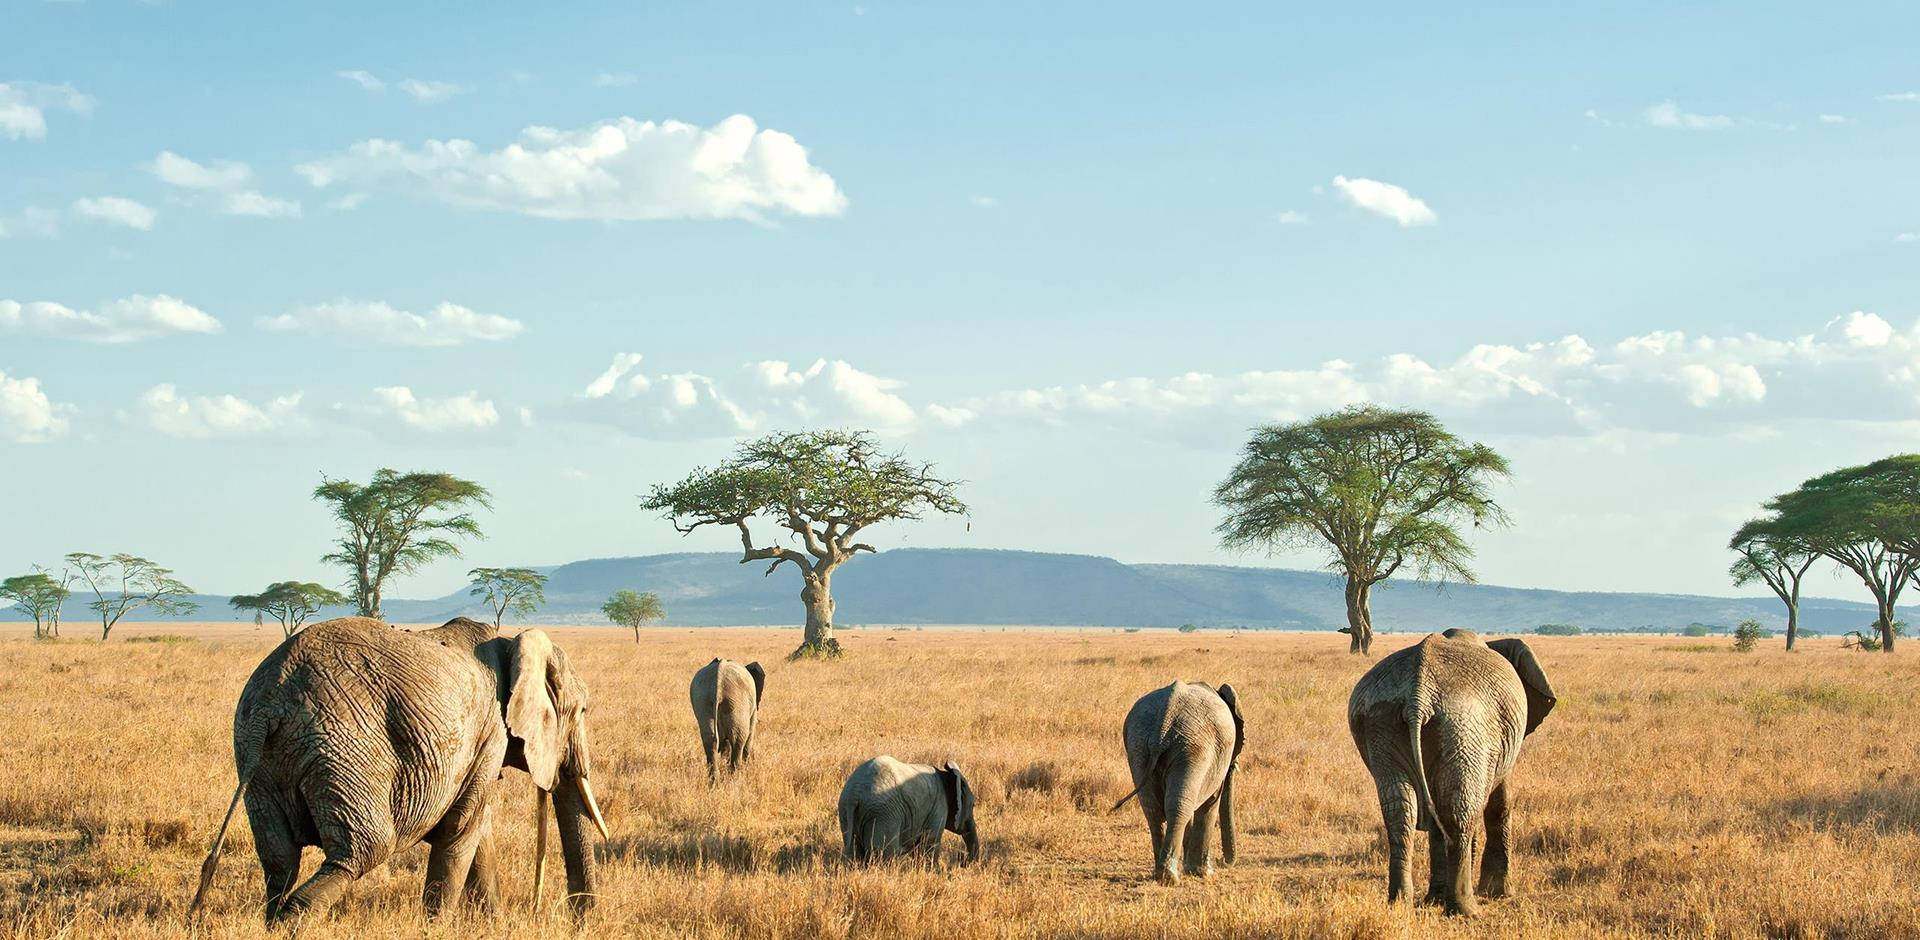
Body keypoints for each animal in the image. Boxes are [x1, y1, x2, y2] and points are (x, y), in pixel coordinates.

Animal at [190, 617, 610, 924]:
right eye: (582, 710)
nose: (580, 920)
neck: (511, 643)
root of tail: (270, 703)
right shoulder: (490, 731)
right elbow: (462, 829)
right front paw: (435, 927)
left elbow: (477, 829)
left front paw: (491, 924)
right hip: (345, 748)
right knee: (364, 849)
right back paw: (293, 920)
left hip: (258, 758)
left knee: (280, 858)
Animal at [1113, 679, 1244, 886]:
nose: (1222, 861)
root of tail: (1164, 723)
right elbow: (1210, 804)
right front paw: (1204, 873)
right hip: (1192, 748)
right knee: (1179, 807)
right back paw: (1170, 878)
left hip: (1138, 745)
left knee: (1153, 809)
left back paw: (1160, 874)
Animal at [1351, 629, 1559, 913]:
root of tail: (1417, 696)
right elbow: (1499, 802)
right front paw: (1500, 894)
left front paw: (1434, 900)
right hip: (1464, 726)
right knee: (1459, 812)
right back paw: (1466, 909)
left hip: (1383, 721)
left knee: (1400, 811)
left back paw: (1400, 904)